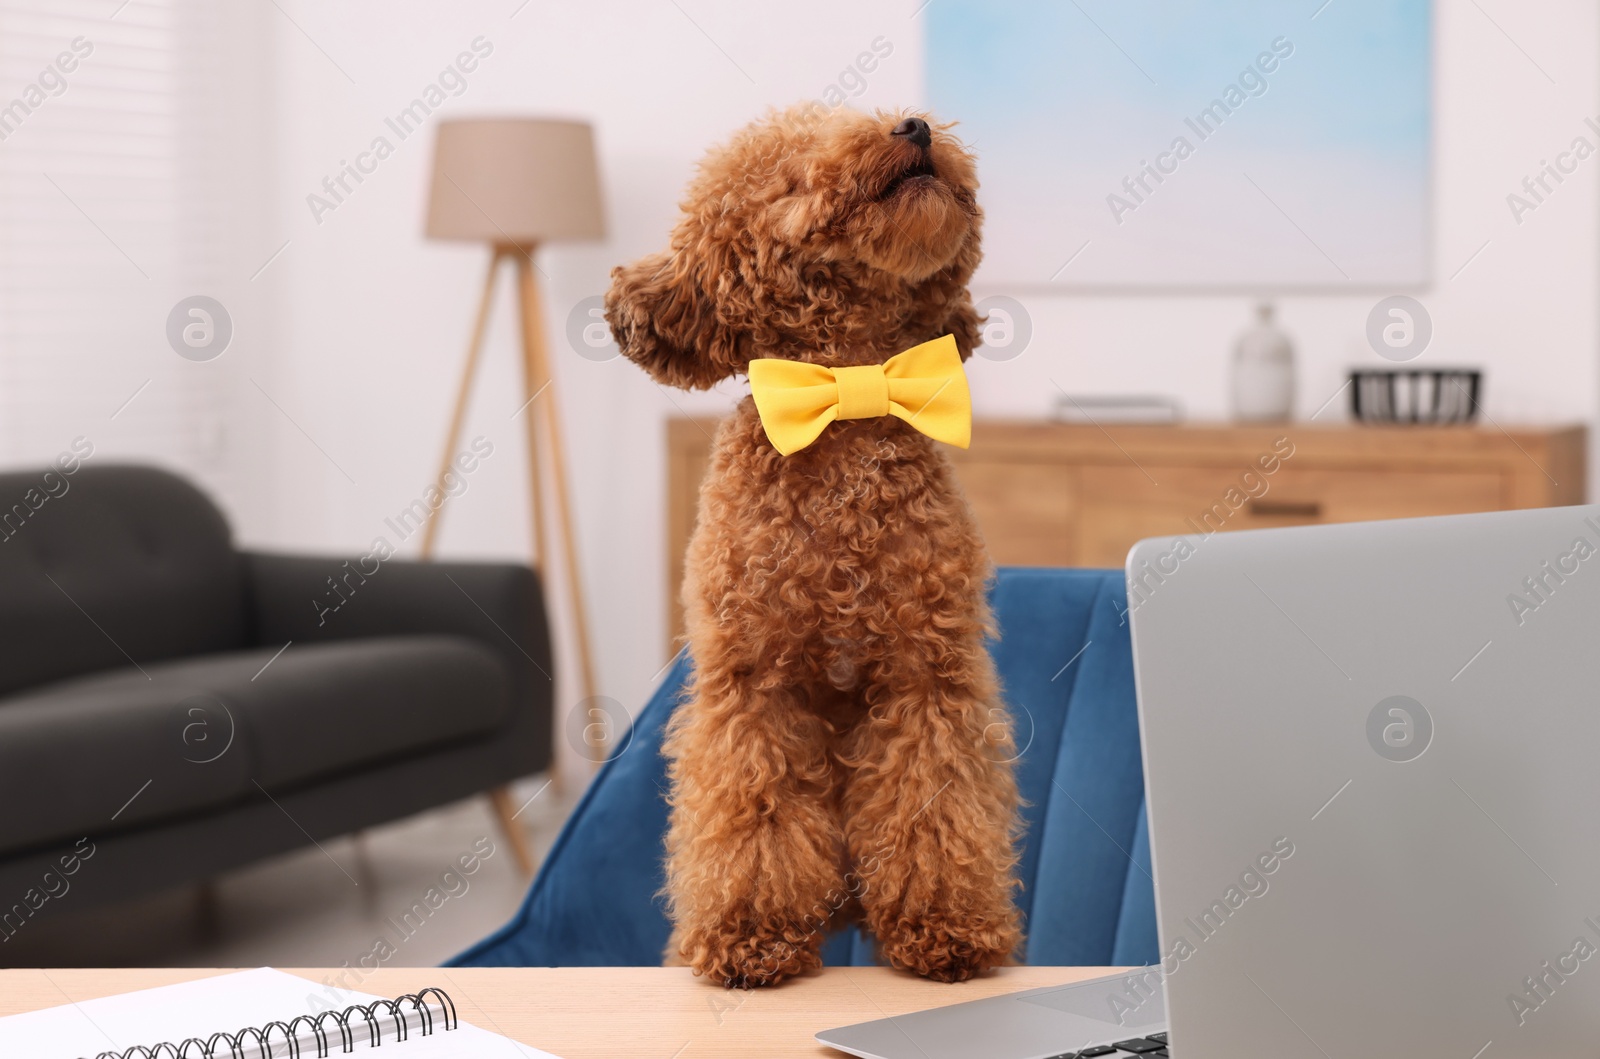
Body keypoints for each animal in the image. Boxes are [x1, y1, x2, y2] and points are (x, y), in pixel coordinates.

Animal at [601, 103, 1024, 991]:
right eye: (793, 171)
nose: (914, 126)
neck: (844, 404)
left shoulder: (926, 675)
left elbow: (934, 803)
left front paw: (947, 930)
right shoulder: (753, 686)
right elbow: (751, 813)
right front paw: (751, 937)